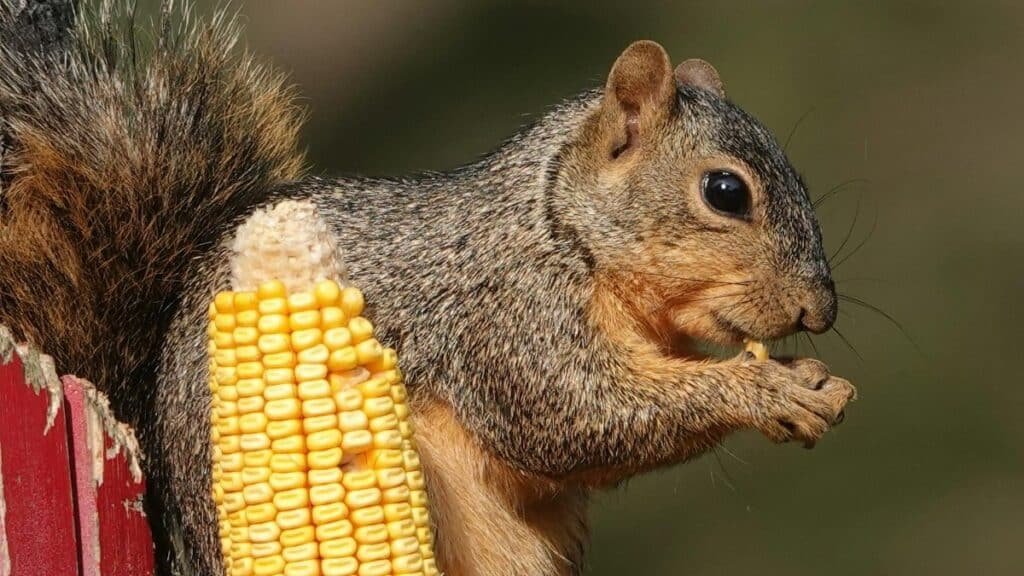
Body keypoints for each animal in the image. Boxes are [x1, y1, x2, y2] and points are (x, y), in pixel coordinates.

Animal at [0, 2, 856, 575]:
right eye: (725, 191)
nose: (820, 312)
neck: (559, 226)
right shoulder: (505, 315)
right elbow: (574, 418)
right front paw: (764, 390)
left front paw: (808, 376)